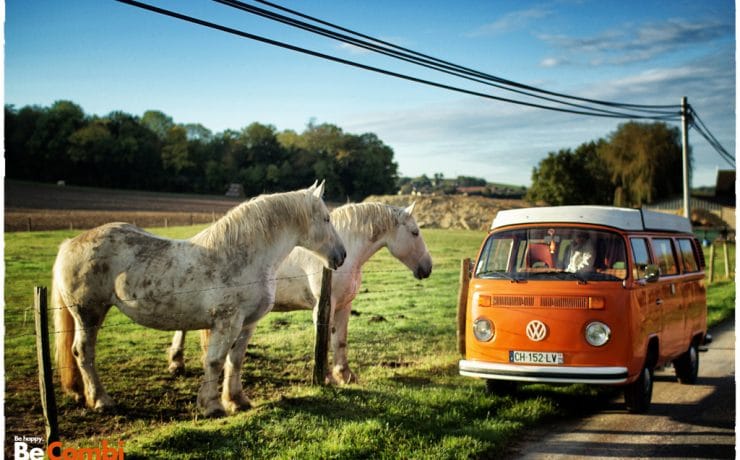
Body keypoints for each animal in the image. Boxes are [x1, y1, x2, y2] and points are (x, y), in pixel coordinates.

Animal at [53, 182, 346, 417]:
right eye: (326, 218)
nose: (341, 255)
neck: (242, 256)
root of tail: (69, 244)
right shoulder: (226, 321)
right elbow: (215, 361)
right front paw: (212, 406)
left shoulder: (247, 323)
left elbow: (235, 360)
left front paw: (237, 401)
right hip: (89, 312)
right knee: (83, 352)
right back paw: (101, 401)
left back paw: (82, 394)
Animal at [167, 201, 433, 384]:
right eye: (415, 232)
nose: (428, 268)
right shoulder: (323, 308)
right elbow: (324, 342)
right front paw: (326, 377)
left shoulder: (344, 306)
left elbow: (340, 341)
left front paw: (345, 375)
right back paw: (176, 363)